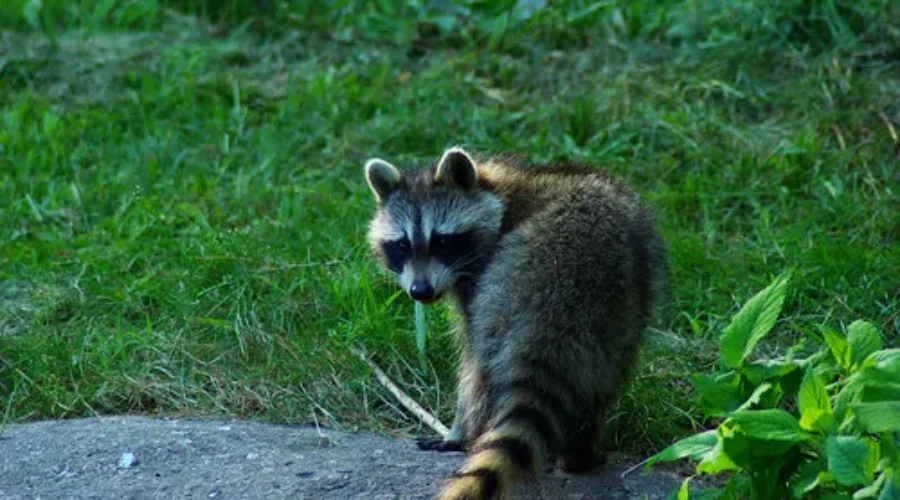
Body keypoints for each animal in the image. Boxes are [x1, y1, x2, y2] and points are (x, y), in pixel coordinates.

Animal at [364, 147, 666, 500]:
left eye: (442, 241)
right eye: (402, 245)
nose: (420, 291)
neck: (498, 191)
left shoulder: (479, 277)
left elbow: (469, 360)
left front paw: (460, 428)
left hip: (509, 296)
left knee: (480, 367)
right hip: (614, 315)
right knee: (602, 377)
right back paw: (579, 452)